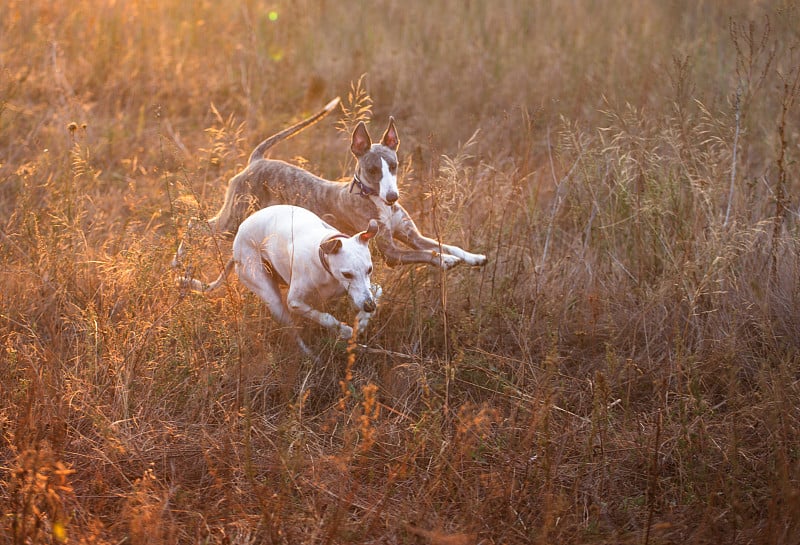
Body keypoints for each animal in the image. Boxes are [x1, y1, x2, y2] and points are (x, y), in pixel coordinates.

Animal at [181, 204, 382, 352]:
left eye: (369, 269)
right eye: (347, 274)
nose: (369, 306)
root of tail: (235, 247)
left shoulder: (362, 290)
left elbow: (377, 290)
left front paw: (362, 321)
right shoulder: (295, 302)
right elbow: (326, 318)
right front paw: (345, 330)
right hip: (273, 299)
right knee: (293, 333)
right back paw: (311, 356)